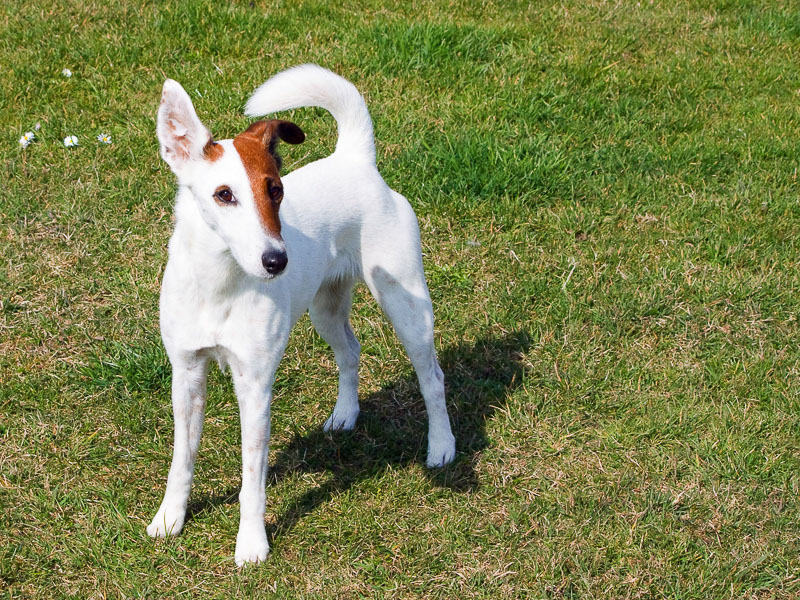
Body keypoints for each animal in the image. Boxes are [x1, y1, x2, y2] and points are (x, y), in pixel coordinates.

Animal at [146, 65, 454, 568]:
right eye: (223, 195)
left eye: (276, 190)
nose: (277, 261)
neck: (221, 282)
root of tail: (355, 159)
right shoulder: (186, 375)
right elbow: (181, 460)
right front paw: (170, 519)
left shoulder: (254, 387)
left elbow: (252, 480)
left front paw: (251, 544)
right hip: (324, 310)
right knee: (351, 351)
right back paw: (345, 414)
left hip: (407, 307)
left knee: (433, 378)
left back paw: (442, 447)